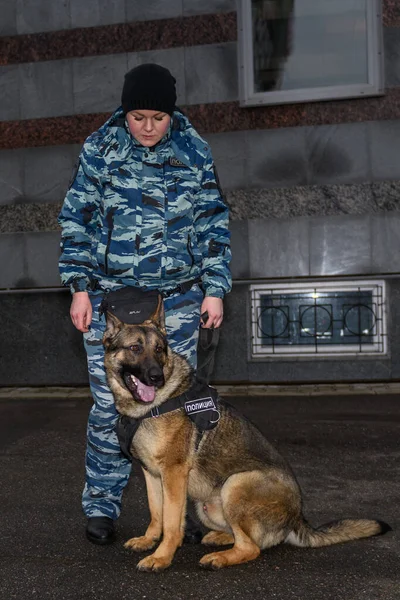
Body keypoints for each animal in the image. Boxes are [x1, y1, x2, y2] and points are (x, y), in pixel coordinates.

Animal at [103, 298, 390, 572]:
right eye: (135, 348)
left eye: (159, 350)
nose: (156, 377)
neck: (152, 406)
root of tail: (297, 518)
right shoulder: (152, 474)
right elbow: (157, 513)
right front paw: (149, 540)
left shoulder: (173, 474)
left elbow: (172, 524)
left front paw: (161, 557)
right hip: (207, 505)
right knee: (246, 538)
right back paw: (219, 538)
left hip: (235, 484)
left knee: (251, 547)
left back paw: (218, 558)